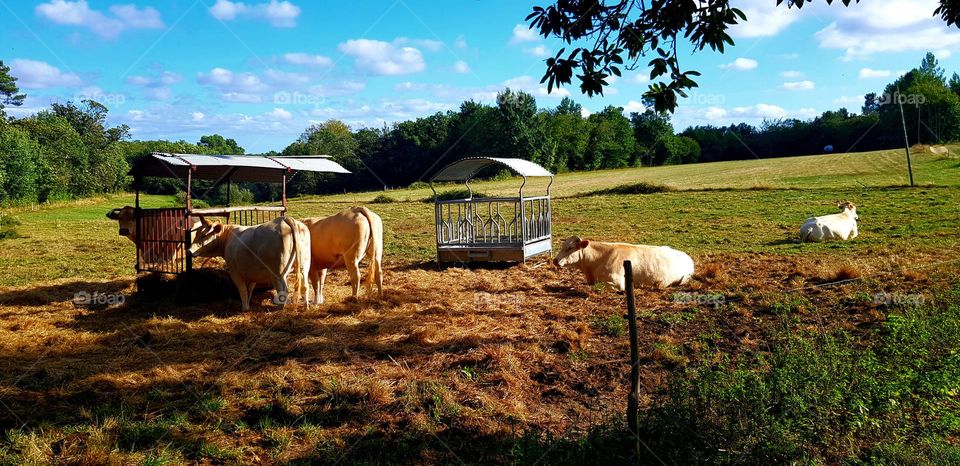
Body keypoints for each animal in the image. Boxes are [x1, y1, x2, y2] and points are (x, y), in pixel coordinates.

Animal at [553, 236, 694, 291]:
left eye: (570, 248)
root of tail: (687, 256)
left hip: (683, 278)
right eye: (563, 246)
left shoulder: (618, 282)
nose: (555, 260)